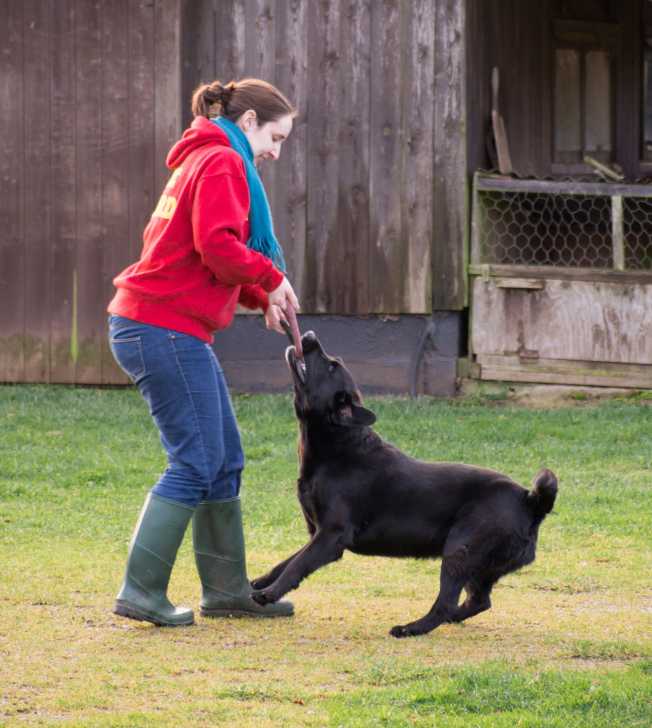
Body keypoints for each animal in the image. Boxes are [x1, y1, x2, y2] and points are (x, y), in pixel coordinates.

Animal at [252, 332, 556, 636]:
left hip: (460, 551)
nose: (309, 335)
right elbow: (286, 561)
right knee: (479, 601)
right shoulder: (317, 533)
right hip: (480, 566)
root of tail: (530, 501)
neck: (339, 446)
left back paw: (411, 628)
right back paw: (449, 619)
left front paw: (269, 593)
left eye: (331, 366)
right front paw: (259, 582)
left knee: (445, 604)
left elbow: (297, 564)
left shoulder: (331, 536)